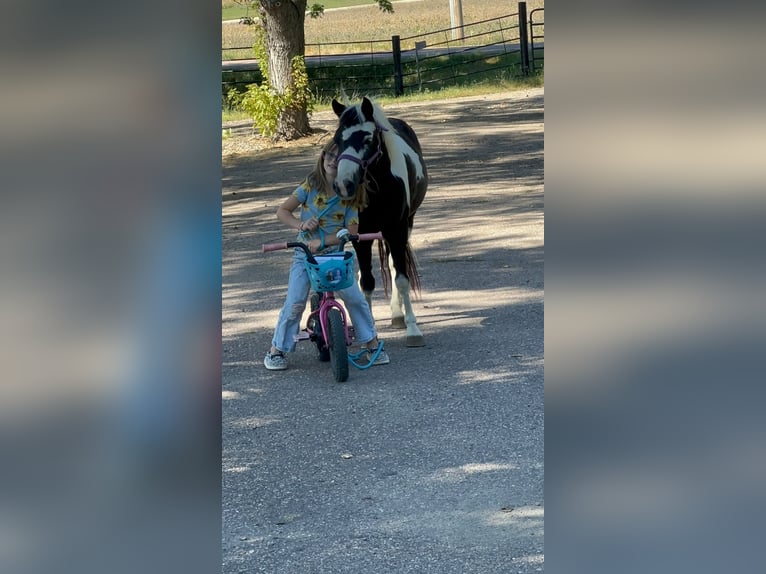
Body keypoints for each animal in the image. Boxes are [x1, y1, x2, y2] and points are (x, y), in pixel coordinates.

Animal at [330, 96, 428, 347]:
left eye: (367, 139)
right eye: (337, 140)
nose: (344, 184)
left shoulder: (397, 230)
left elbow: (402, 278)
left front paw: (413, 329)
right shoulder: (360, 237)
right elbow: (366, 281)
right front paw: (368, 329)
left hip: (405, 226)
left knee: (395, 267)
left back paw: (397, 315)